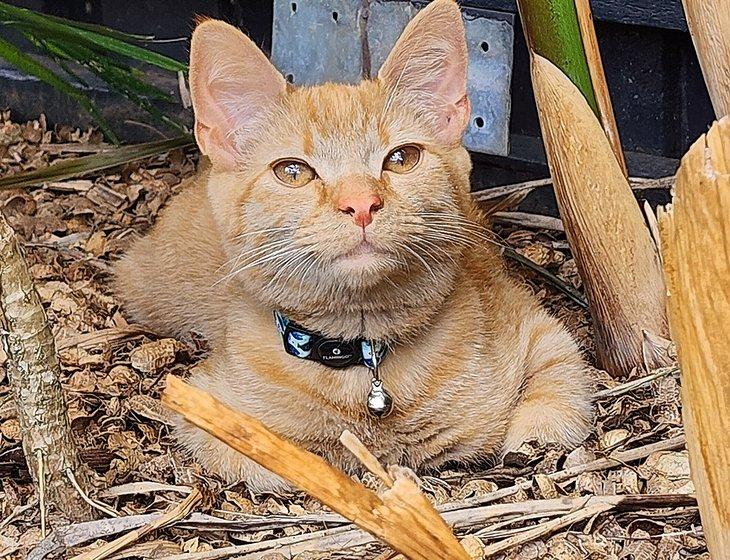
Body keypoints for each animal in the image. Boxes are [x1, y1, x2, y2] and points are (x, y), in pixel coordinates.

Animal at [114, 0, 592, 490]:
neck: (364, 357)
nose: (361, 204)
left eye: (402, 159)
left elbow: (548, 414)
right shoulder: (207, 408)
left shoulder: (546, 337)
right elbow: (277, 462)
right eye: (292, 172)